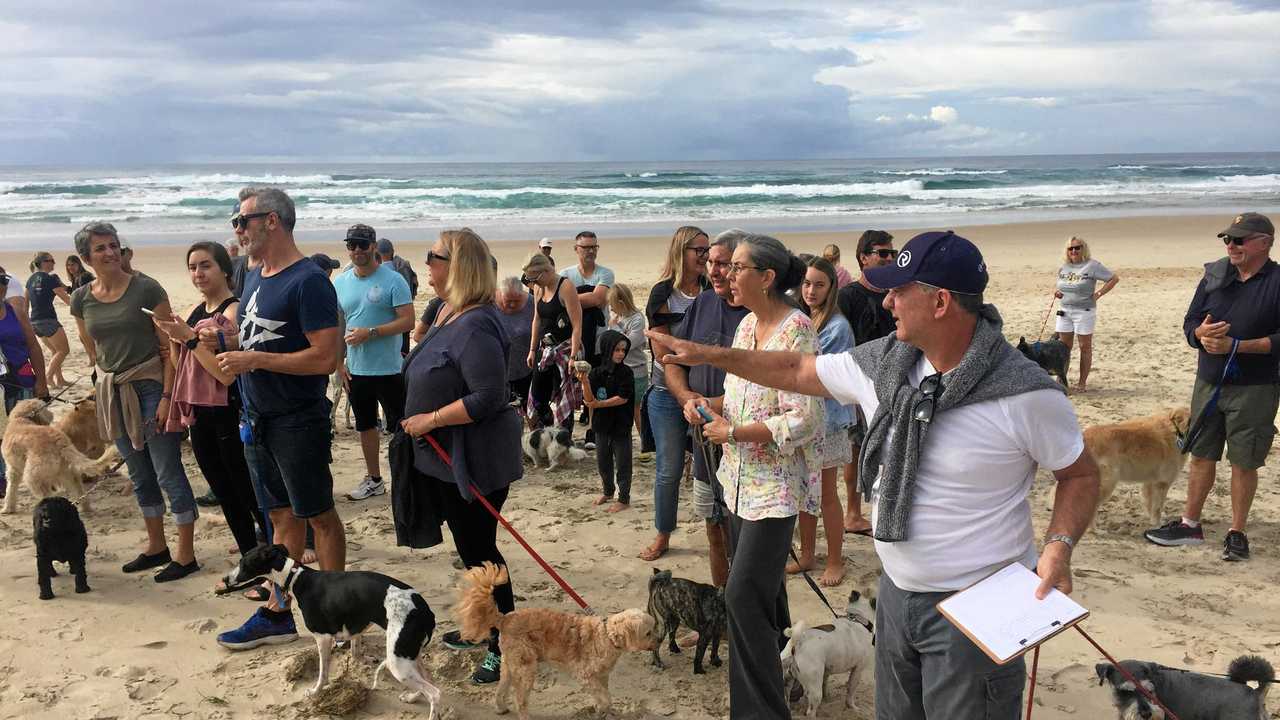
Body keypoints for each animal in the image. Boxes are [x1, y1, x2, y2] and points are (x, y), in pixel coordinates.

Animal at [458, 561, 660, 717]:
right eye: (648, 633)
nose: (658, 642)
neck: (606, 636)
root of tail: (504, 619)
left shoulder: (602, 677)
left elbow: (604, 695)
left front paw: (602, 710)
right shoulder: (587, 676)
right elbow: (605, 698)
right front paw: (603, 708)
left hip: (510, 664)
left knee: (501, 689)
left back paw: (500, 709)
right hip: (526, 669)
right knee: (520, 699)